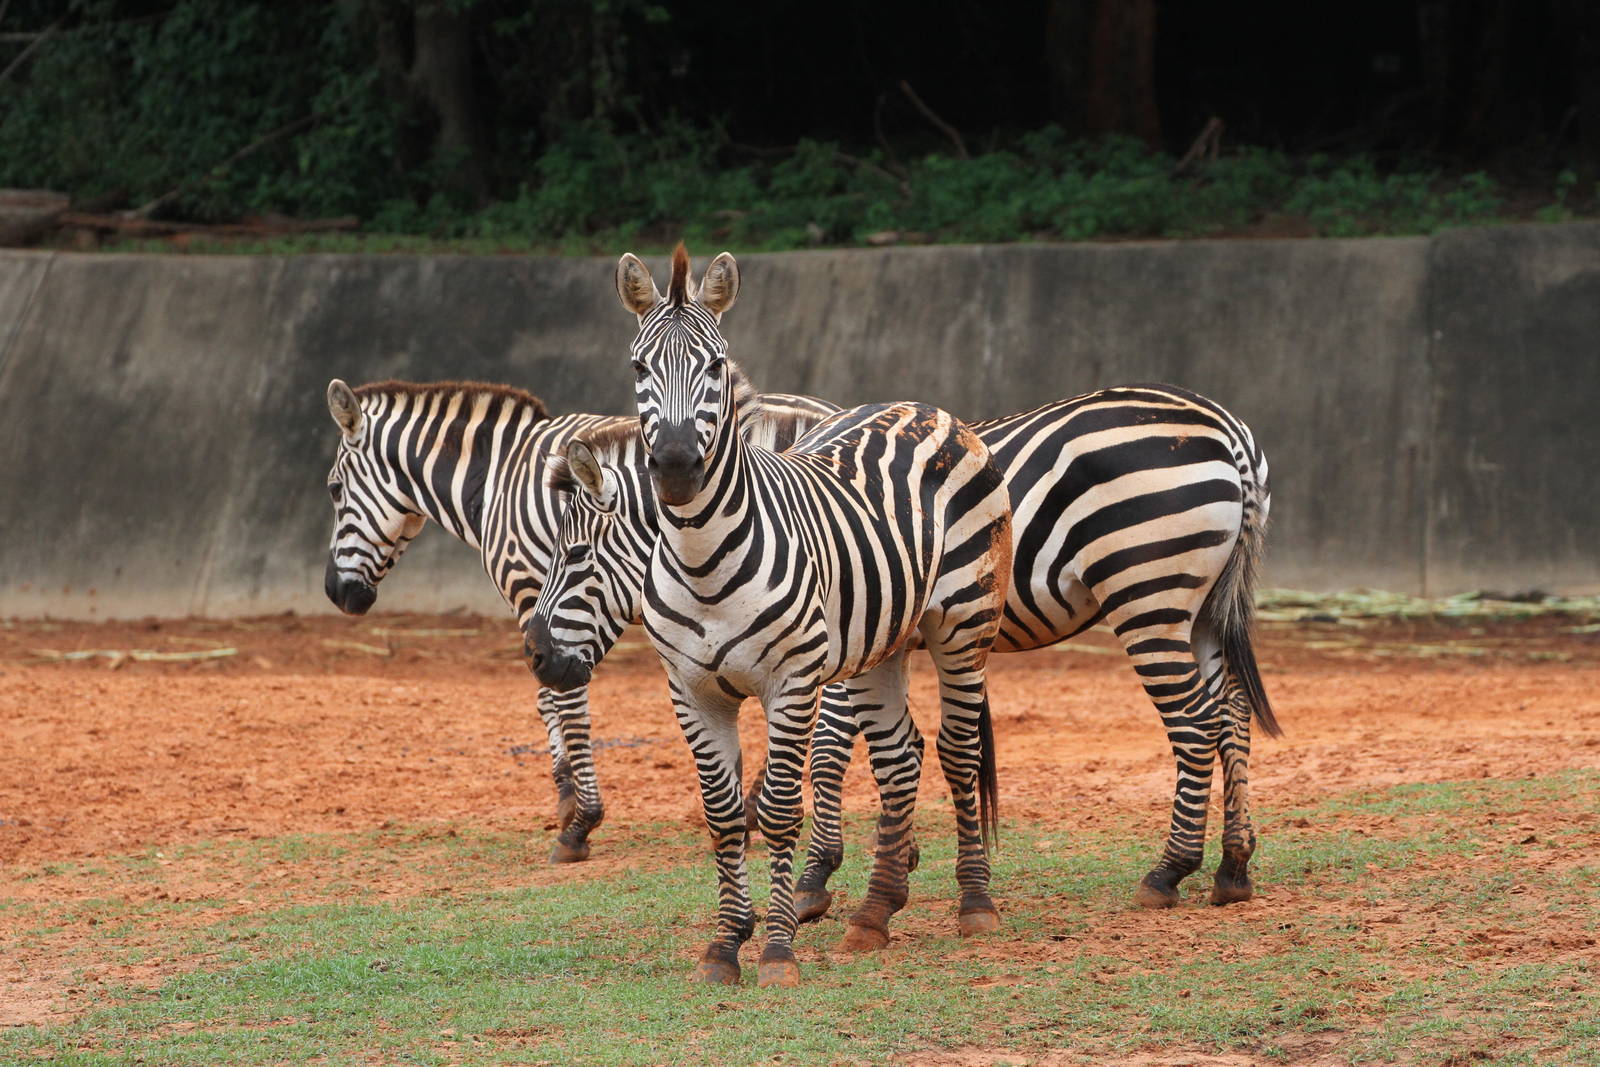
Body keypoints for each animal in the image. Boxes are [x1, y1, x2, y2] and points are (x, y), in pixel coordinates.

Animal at [320, 375, 833, 864]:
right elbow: (546, 701)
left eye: (334, 489)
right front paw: (566, 796)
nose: (335, 593)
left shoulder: (533, 595)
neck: (494, 479)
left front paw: (579, 821)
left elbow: (563, 702)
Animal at [525, 244, 1014, 987]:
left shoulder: (792, 681)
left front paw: (779, 947)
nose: (675, 466)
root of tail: (923, 407)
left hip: (962, 624)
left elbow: (782, 807)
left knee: (957, 751)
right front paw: (727, 943)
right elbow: (724, 816)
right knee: (899, 758)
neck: (702, 562)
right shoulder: (691, 691)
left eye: (715, 365)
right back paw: (874, 913)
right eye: (638, 367)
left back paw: (975, 903)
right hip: (880, 642)